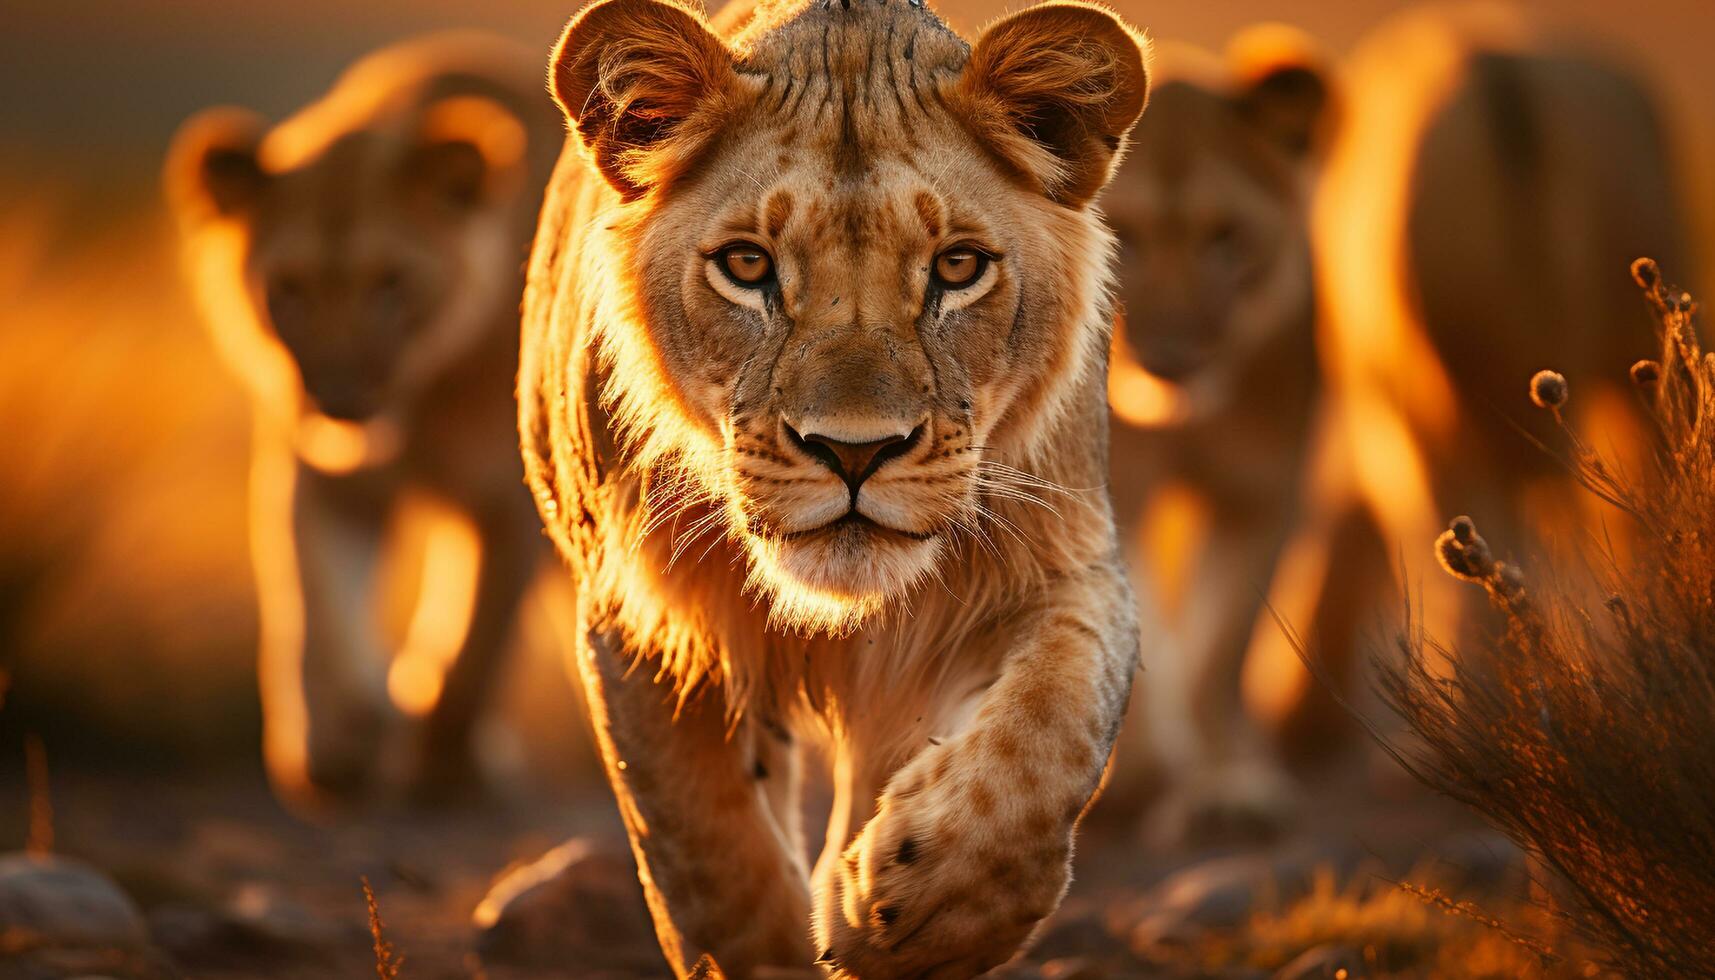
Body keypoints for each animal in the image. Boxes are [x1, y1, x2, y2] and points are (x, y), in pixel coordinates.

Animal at [166, 34, 559, 810]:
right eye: (288, 289)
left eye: (391, 283)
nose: (341, 399)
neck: (419, 403)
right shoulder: (321, 477)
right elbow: (313, 604)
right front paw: (337, 745)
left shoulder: (511, 500)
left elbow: (477, 643)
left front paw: (441, 766)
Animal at [1097, 1, 1687, 844]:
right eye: (1121, 234)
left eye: (1226, 237)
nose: (1171, 360)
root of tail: (1501, 63)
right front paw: (1138, 786)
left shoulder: (1263, 493)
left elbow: (1215, 651)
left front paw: (1228, 790)